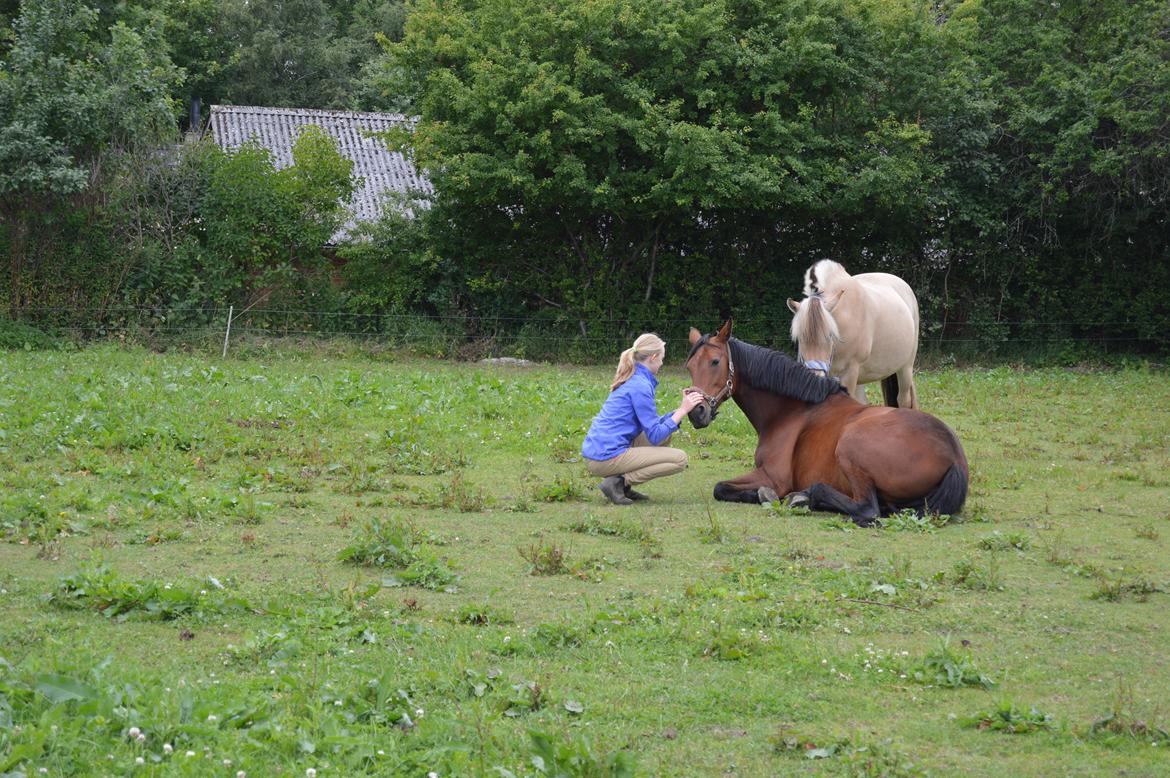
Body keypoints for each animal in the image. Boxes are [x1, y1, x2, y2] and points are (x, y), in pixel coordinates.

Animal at [683, 318, 964, 528]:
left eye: (715, 362)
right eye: (689, 366)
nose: (697, 412)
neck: (790, 411)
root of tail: (954, 457)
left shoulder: (772, 476)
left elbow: (720, 488)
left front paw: (769, 495)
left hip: (851, 446)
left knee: (867, 508)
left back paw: (804, 496)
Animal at [790, 259, 917, 409]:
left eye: (830, 336)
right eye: (800, 337)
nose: (815, 378)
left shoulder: (849, 373)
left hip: (905, 368)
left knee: (903, 399)